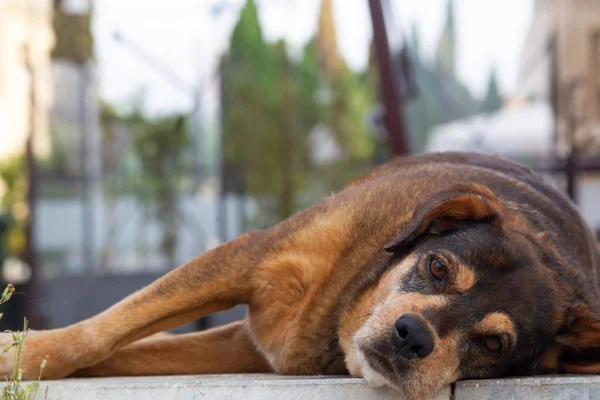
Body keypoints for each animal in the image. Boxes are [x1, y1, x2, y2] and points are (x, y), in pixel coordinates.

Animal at [3, 152, 600, 398]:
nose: (412, 336)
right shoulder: (248, 256)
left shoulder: (247, 346)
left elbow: (123, 349)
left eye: (494, 344)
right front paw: (22, 356)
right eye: (437, 267)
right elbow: (100, 335)